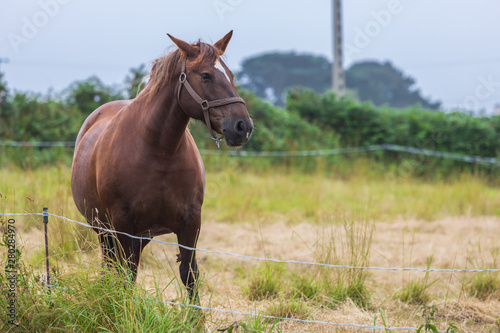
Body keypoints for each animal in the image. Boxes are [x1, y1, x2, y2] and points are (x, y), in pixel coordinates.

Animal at [70, 29, 254, 296]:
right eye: (206, 76)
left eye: (230, 75)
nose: (243, 127)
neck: (159, 153)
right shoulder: (122, 225)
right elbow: (126, 277)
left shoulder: (190, 222)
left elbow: (189, 275)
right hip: (105, 231)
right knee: (112, 267)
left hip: (140, 236)